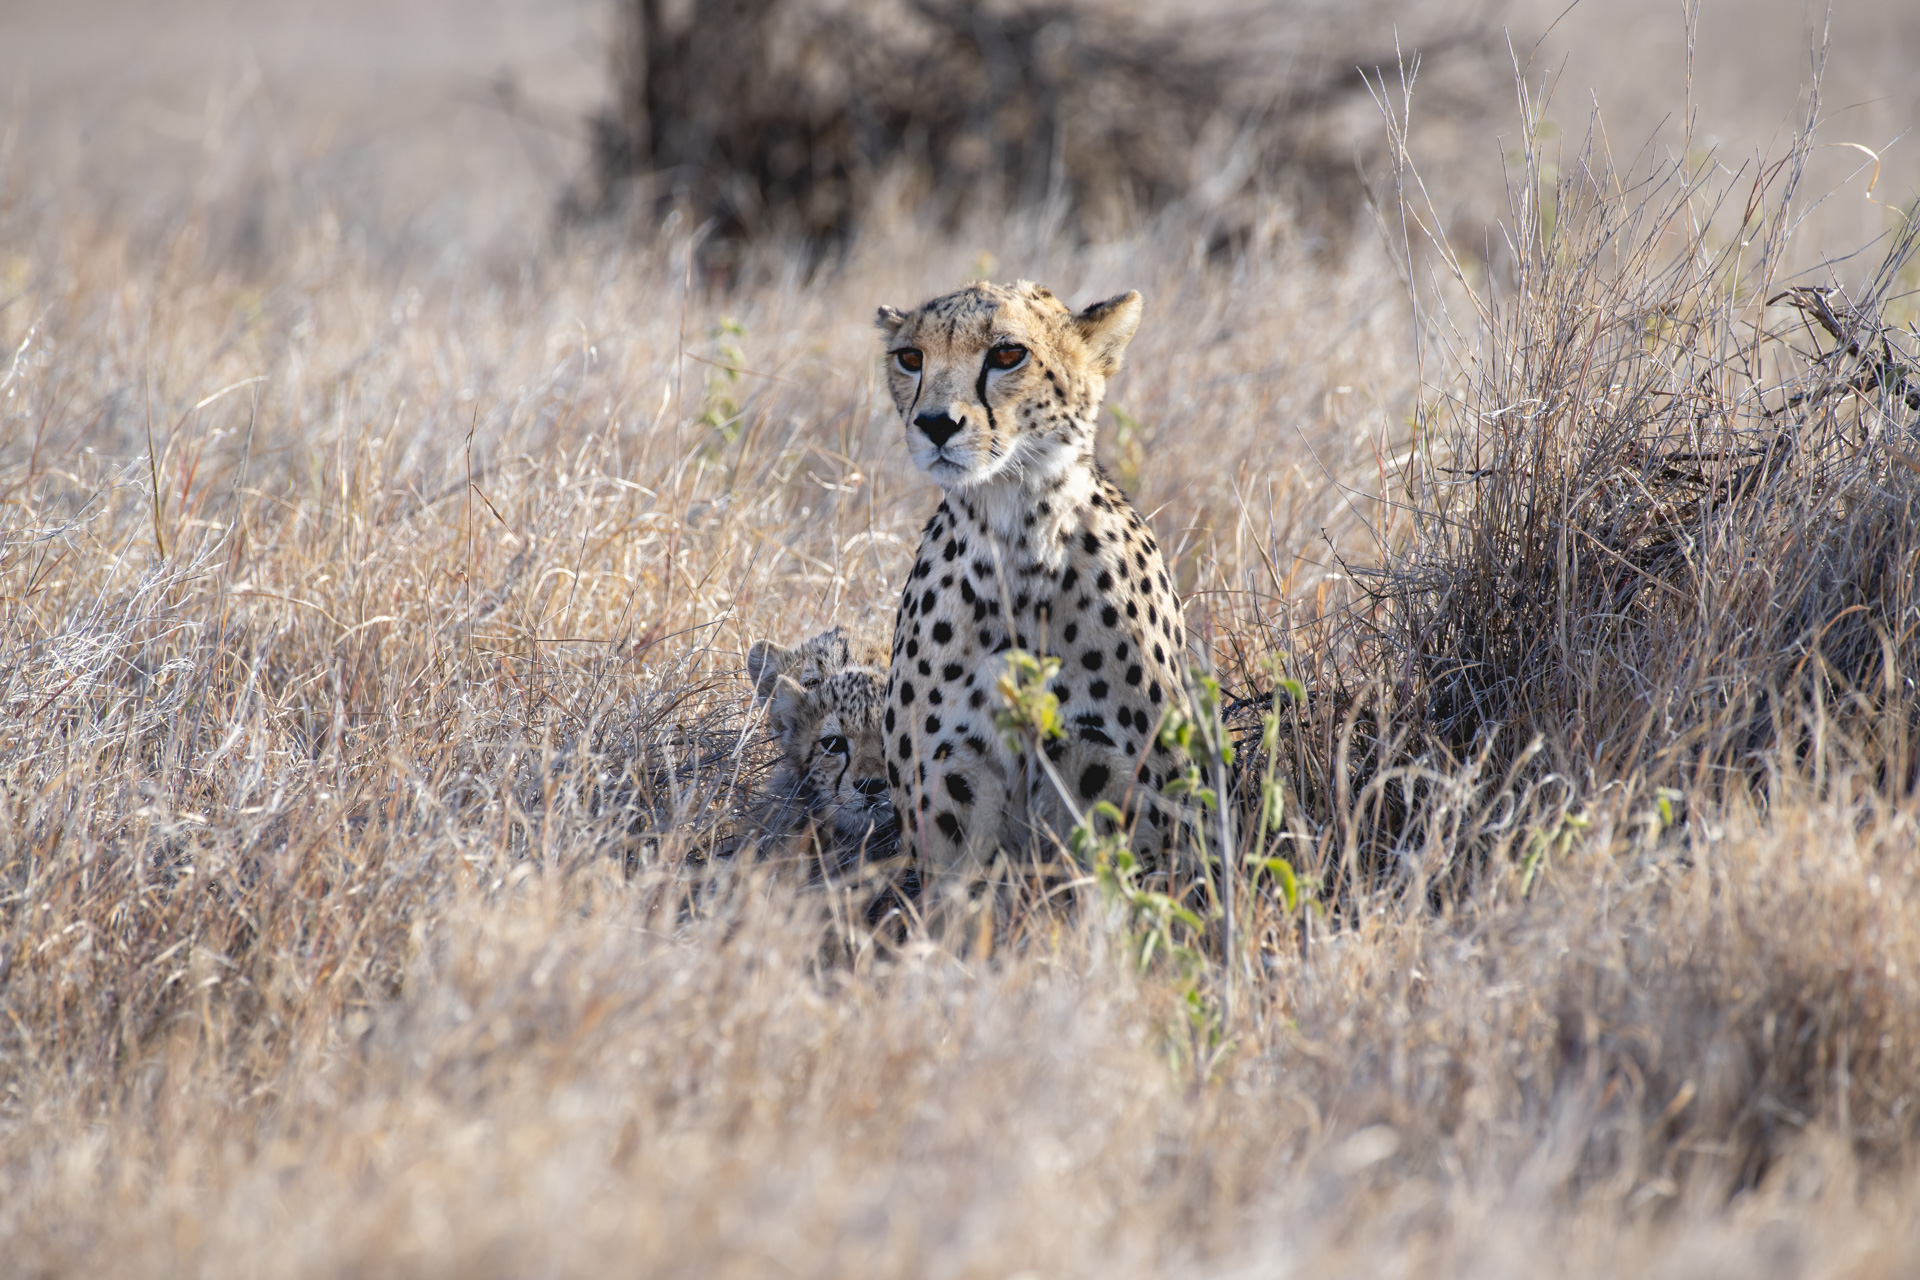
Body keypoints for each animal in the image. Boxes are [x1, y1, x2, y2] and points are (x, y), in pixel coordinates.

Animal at [874, 279, 1191, 890]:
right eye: (910, 358)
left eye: (1006, 355)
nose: (935, 424)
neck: (1014, 532)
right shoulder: (950, 795)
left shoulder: (1115, 783)